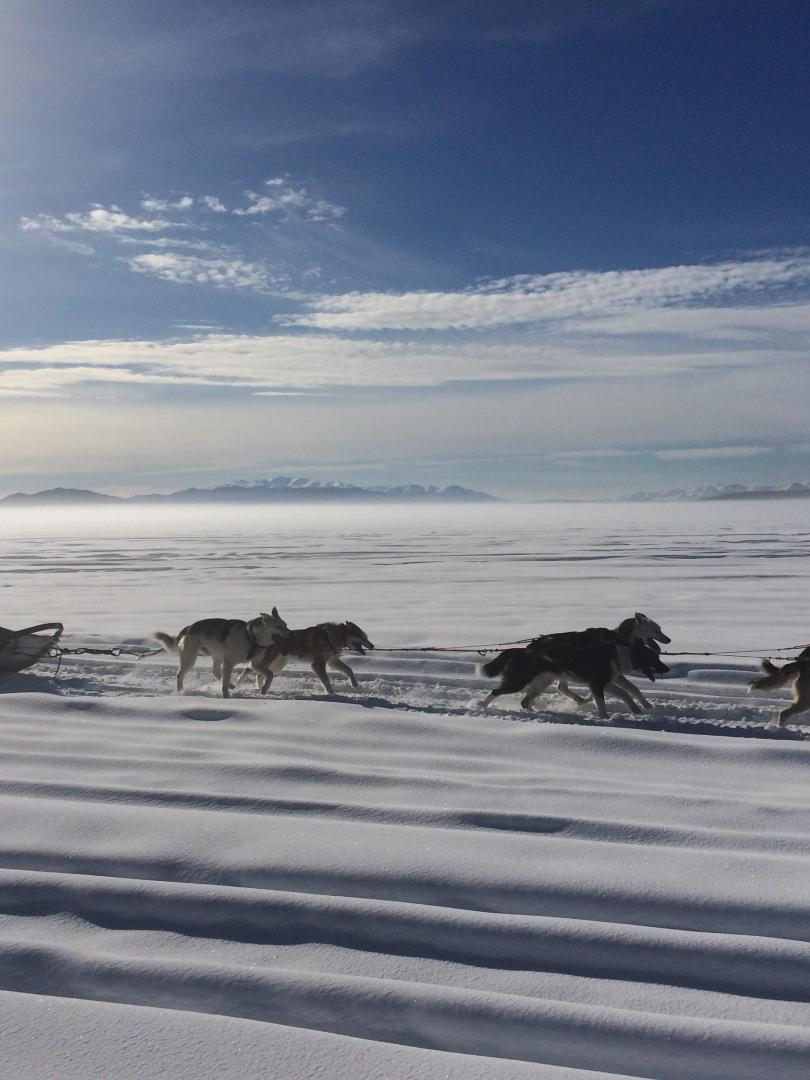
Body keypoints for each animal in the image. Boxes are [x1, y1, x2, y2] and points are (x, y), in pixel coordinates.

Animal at [153, 609, 289, 699]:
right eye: (279, 627)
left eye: (286, 625)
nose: (291, 633)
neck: (251, 637)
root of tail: (188, 628)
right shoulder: (229, 662)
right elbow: (224, 683)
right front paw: (226, 697)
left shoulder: (255, 664)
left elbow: (270, 674)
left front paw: (265, 688)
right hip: (190, 658)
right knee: (179, 675)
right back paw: (181, 692)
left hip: (216, 656)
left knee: (216, 672)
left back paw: (231, 685)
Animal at [234, 622, 373, 695]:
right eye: (363, 637)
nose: (372, 646)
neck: (338, 635)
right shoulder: (318, 664)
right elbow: (326, 681)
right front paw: (331, 694)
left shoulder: (332, 661)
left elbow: (349, 670)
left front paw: (355, 685)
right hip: (269, 661)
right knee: (249, 669)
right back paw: (240, 684)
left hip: (279, 663)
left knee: (259, 674)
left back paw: (259, 687)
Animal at [475, 613, 673, 721]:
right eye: (657, 630)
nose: (669, 639)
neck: (621, 640)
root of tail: (523, 649)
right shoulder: (602, 681)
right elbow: (624, 693)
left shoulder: (608, 680)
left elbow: (630, 691)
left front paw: (643, 707)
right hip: (521, 681)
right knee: (497, 692)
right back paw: (480, 704)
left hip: (545, 681)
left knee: (533, 698)